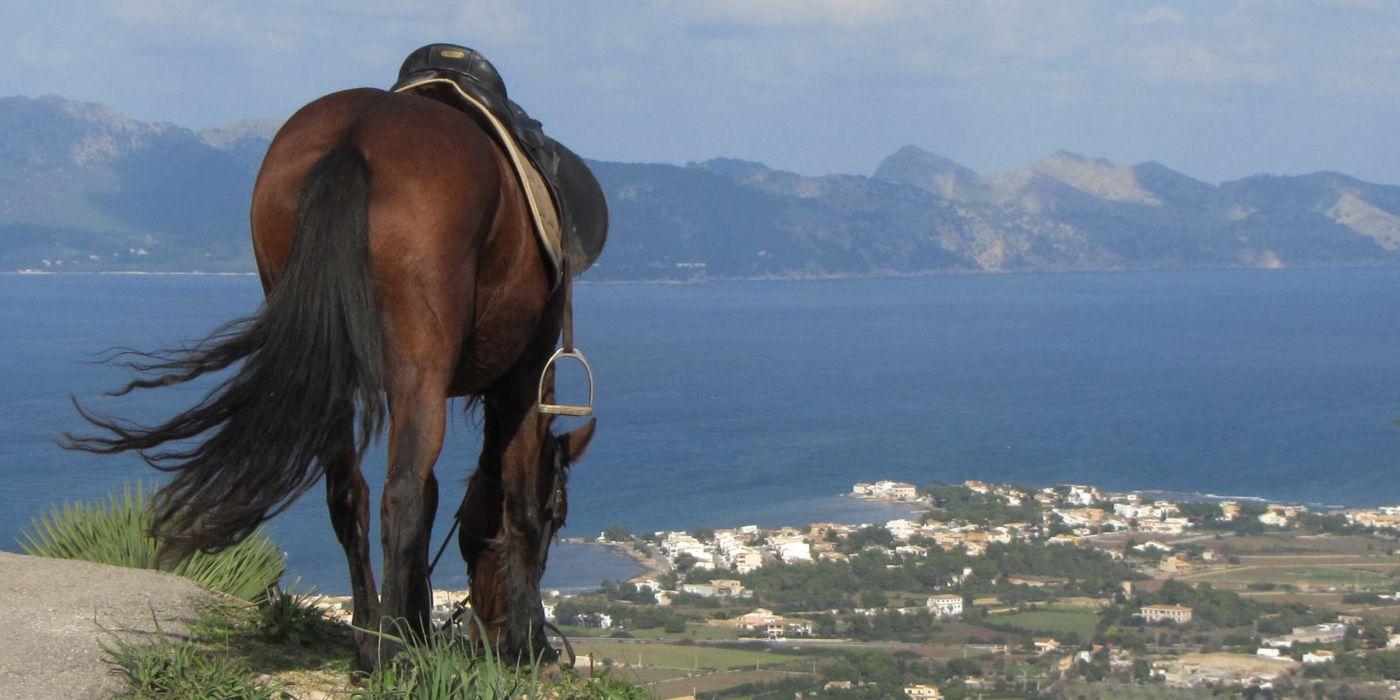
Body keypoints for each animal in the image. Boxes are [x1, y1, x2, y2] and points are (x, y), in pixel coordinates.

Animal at [65, 86, 597, 671]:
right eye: (559, 515)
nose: (492, 636)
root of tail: (356, 136)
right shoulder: (523, 379)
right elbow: (513, 502)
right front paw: (528, 646)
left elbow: (436, 497)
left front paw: (416, 626)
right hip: (420, 372)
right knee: (399, 496)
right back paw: (389, 652)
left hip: (328, 375)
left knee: (349, 496)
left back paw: (370, 641)